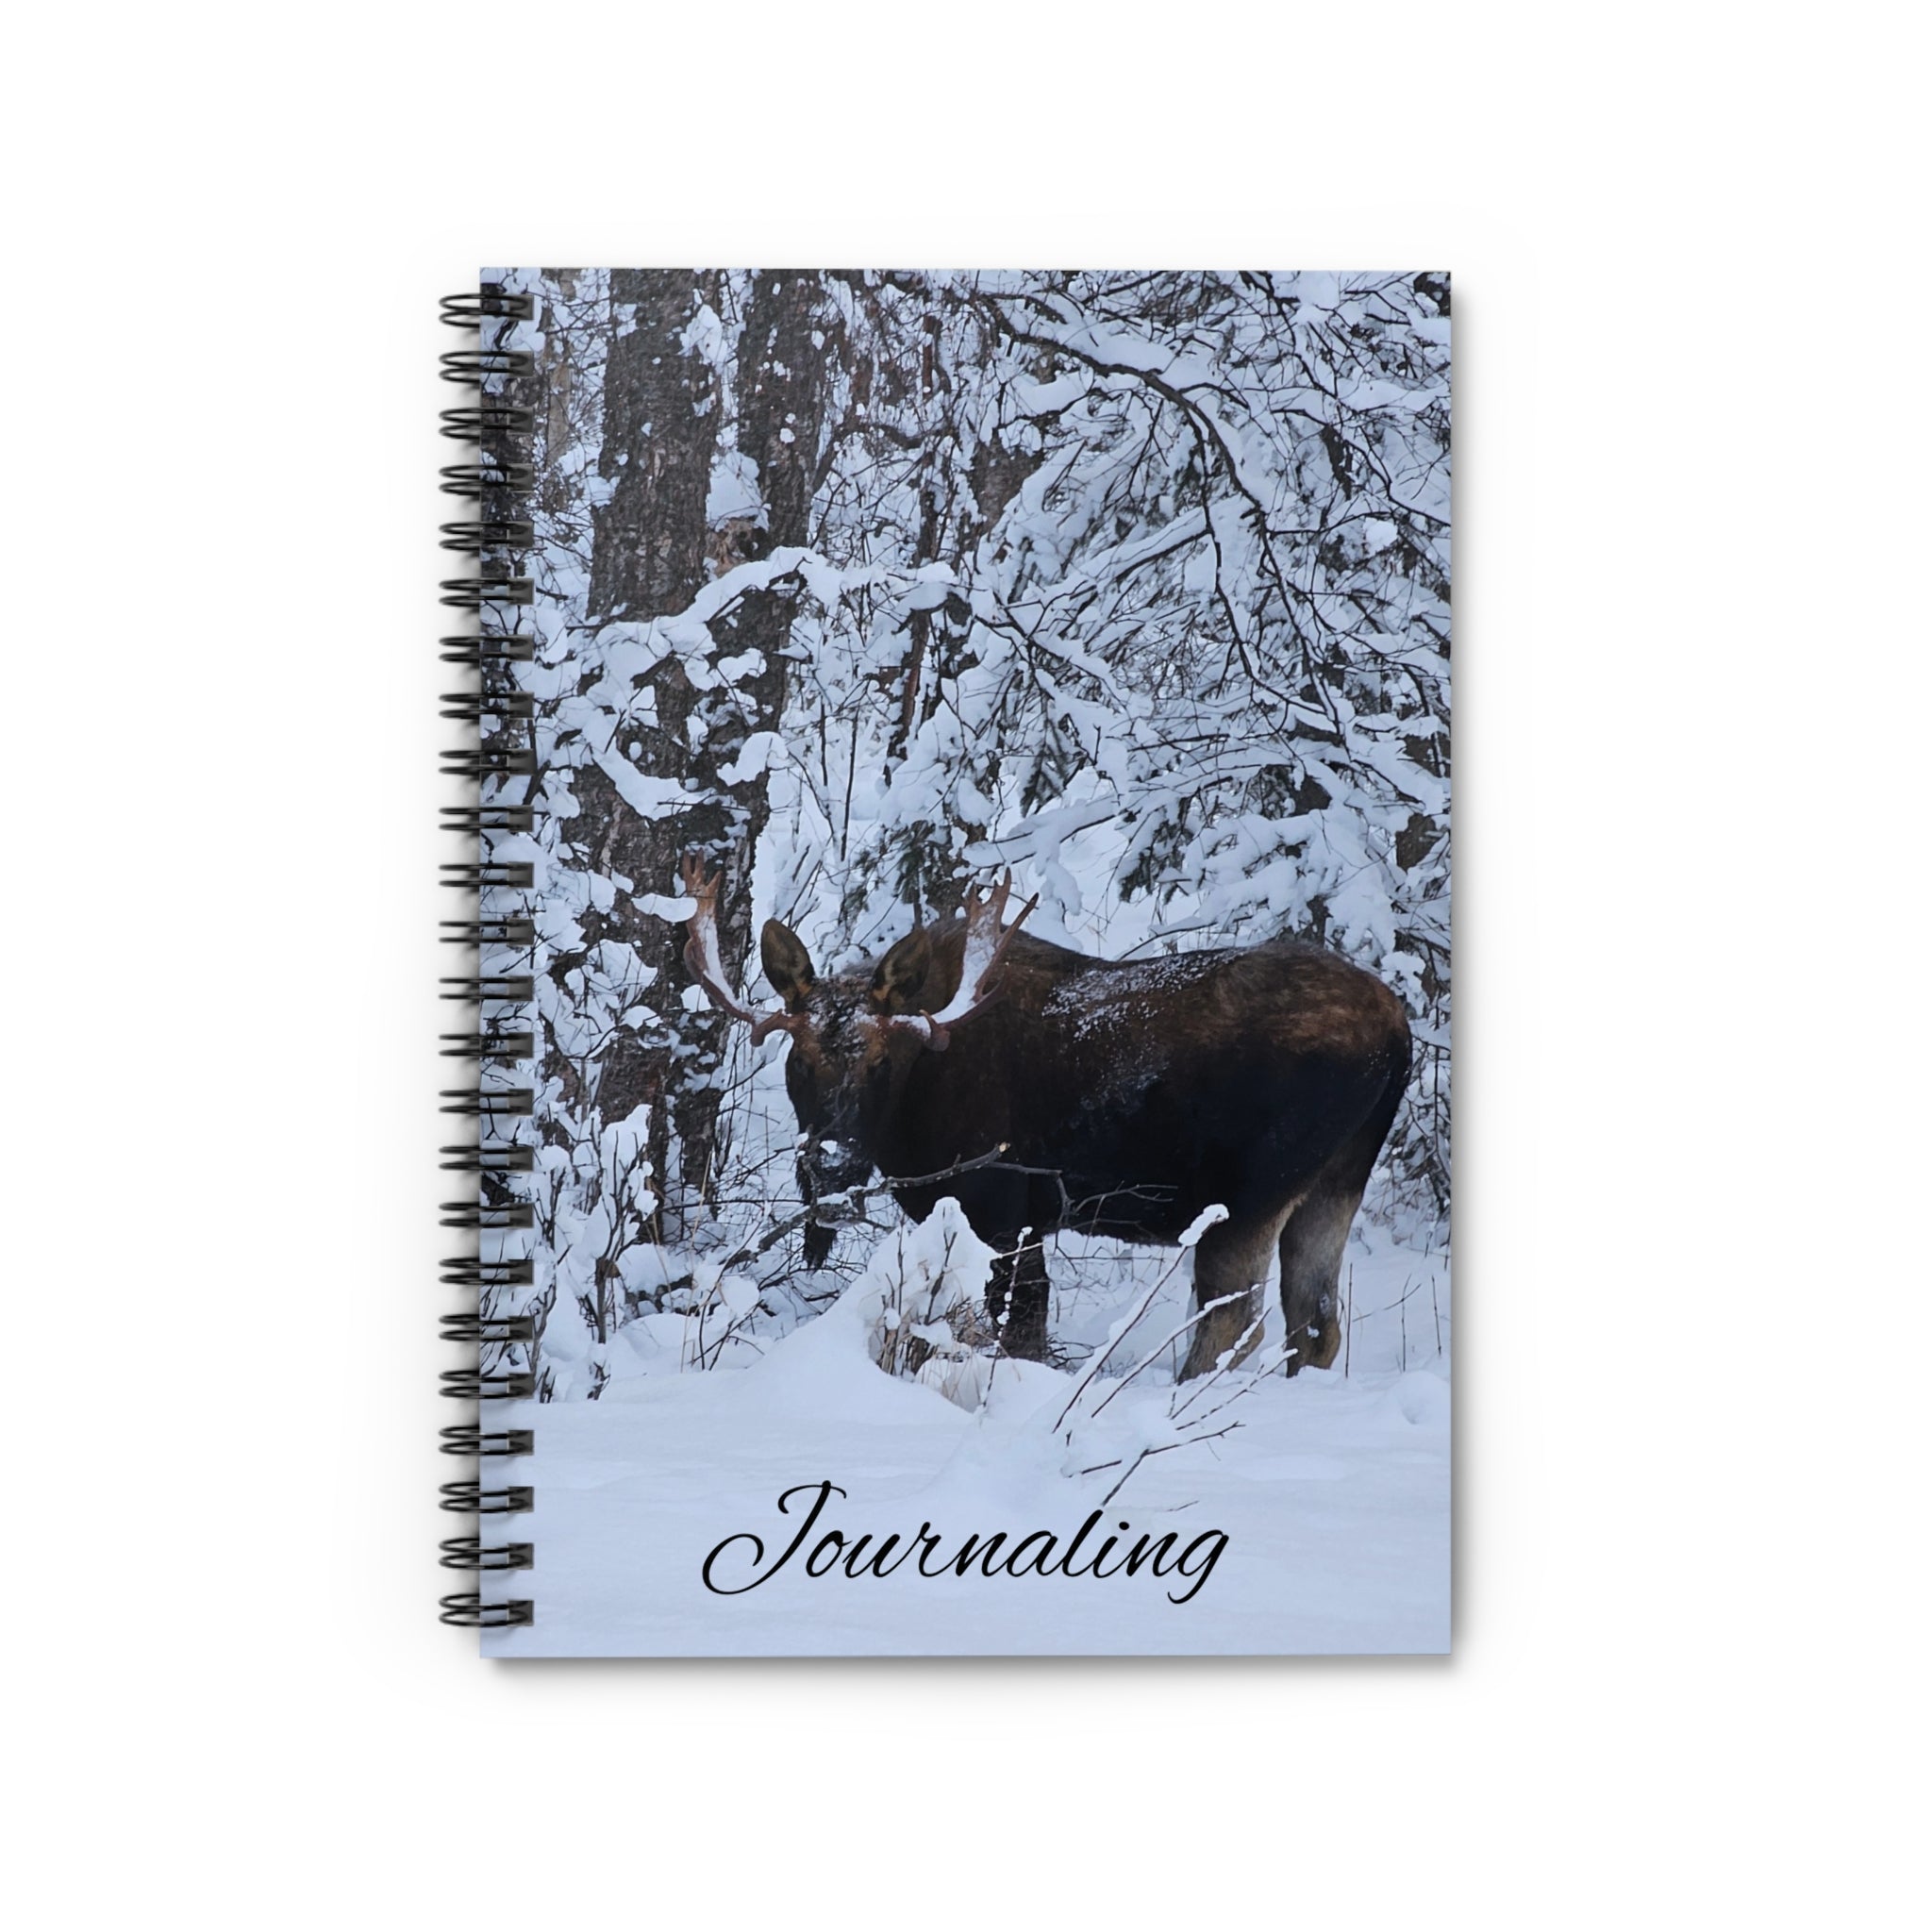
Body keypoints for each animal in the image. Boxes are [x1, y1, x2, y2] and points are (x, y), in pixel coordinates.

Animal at [677, 856, 1412, 1380]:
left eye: (882, 1062)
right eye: (798, 1060)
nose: (831, 1167)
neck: (910, 1112)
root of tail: (1400, 1031)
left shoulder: (1003, 1209)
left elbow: (1018, 1334)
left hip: (1250, 1194)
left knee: (1235, 1325)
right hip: (1337, 1182)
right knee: (1315, 1324)